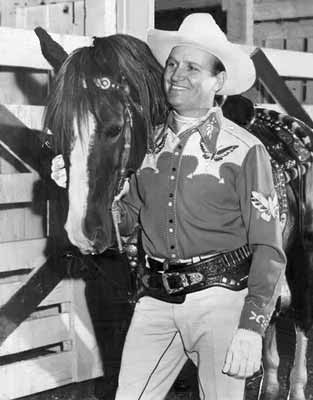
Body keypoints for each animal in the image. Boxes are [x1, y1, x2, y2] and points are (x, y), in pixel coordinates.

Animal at [39, 32, 312, 400]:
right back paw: (268, 383)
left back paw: (295, 387)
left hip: (302, 259)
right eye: (54, 134)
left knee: (300, 320)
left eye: (114, 129)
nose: (82, 232)